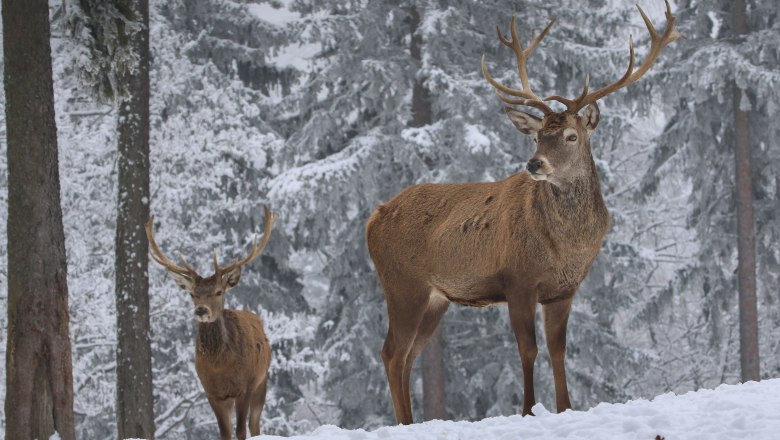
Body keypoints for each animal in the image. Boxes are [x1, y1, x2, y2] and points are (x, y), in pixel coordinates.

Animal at [146, 207, 278, 440]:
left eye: (218, 291)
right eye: (192, 294)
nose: (201, 310)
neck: (220, 367)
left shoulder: (244, 386)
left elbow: (241, 431)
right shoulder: (212, 392)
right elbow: (224, 433)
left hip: (262, 380)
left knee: (255, 425)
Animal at [366, 1, 676, 424]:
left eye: (571, 136)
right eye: (538, 135)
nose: (534, 163)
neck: (566, 247)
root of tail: (372, 219)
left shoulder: (564, 290)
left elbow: (559, 349)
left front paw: (565, 408)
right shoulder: (518, 280)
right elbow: (527, 349)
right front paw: (528, 410)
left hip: (435, 298)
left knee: (407, 355)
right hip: (402, 283)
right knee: (391, 352)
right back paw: (405, 423)